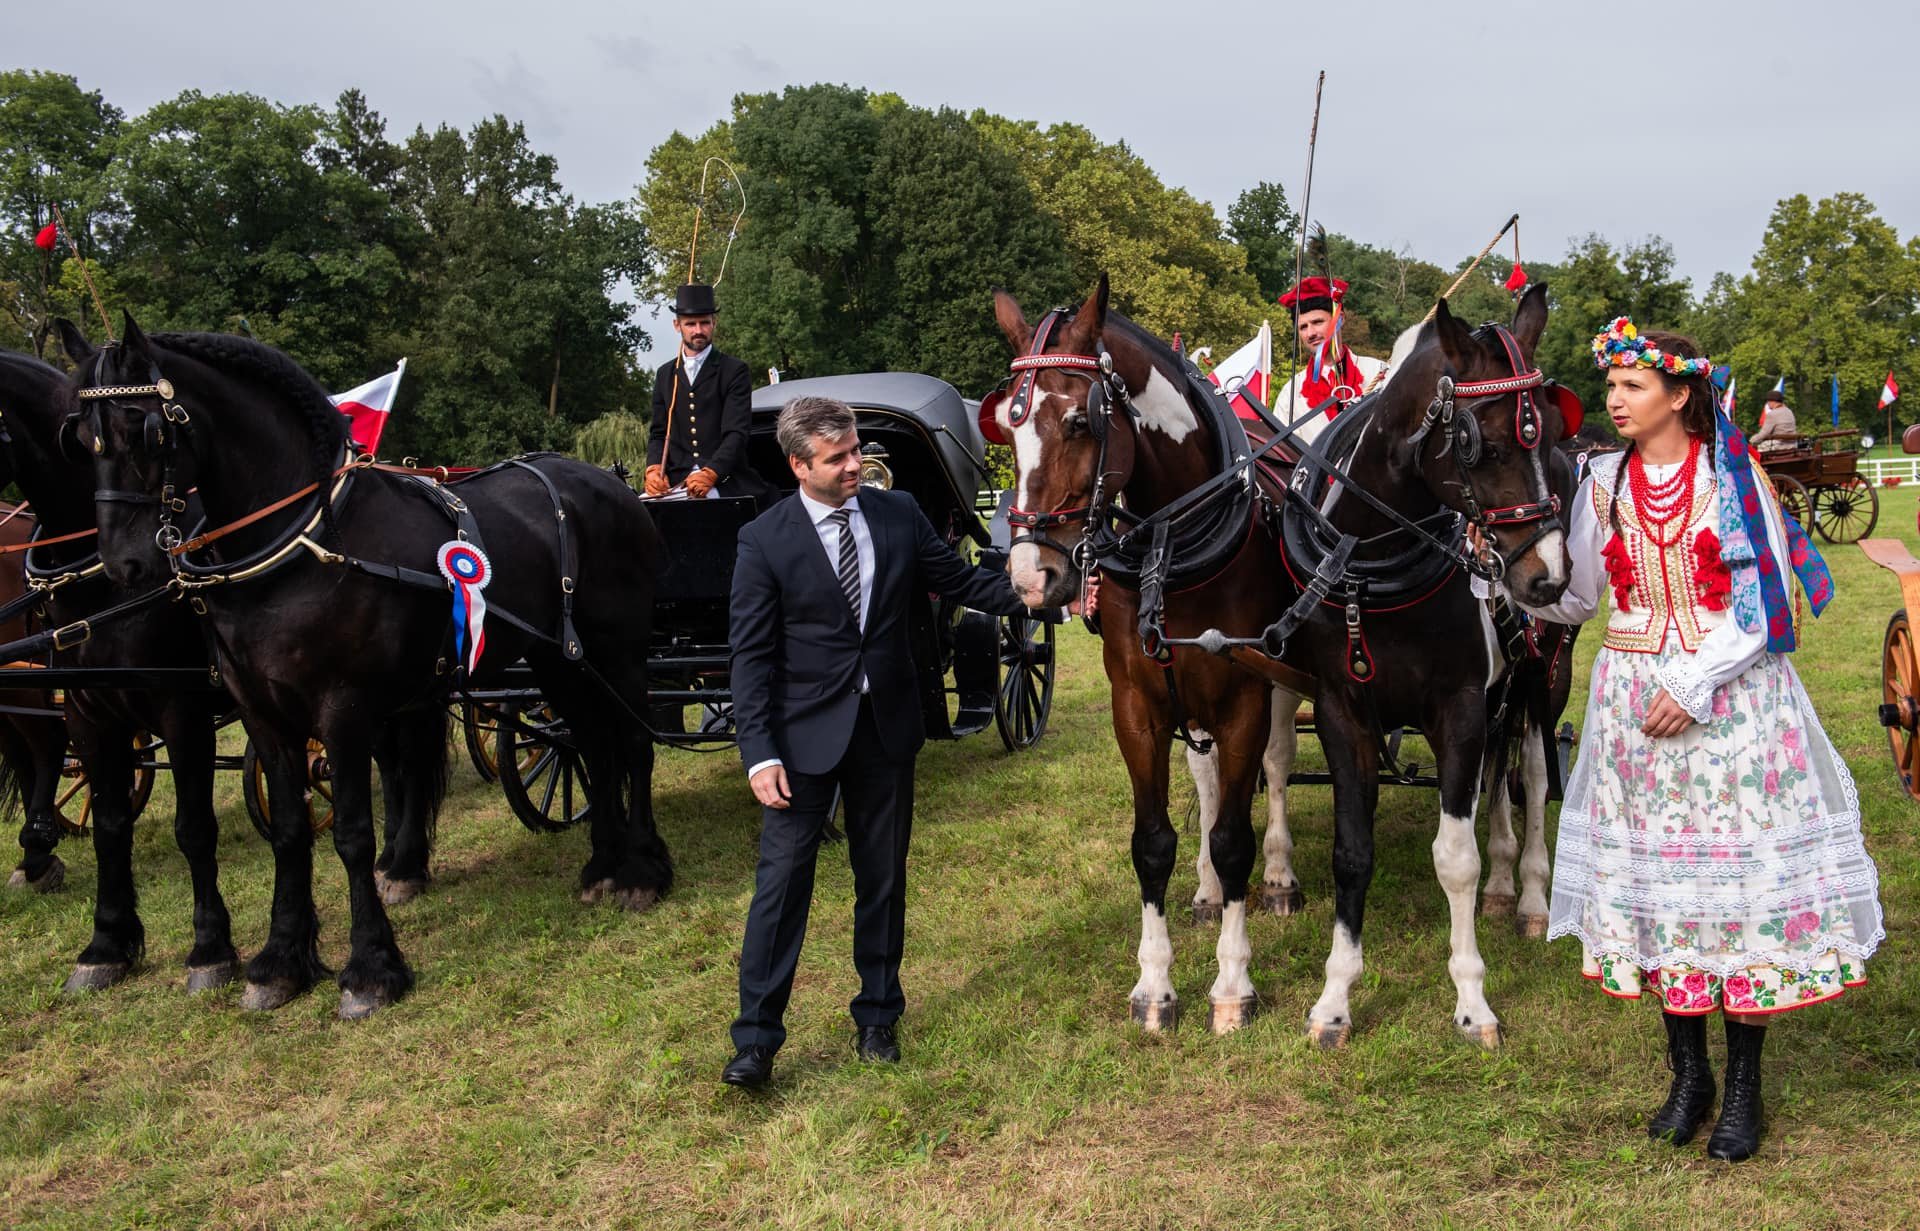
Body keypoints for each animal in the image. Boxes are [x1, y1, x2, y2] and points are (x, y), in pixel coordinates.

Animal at [65, 316, 668, 1013]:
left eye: (147, 429)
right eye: (81, 438)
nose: (124, 565)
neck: (301, 548)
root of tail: (610, 482)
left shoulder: (341, 710)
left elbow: (353, 834)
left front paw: (370, 968)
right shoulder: (263, 715)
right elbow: (291, 830)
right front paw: (280, 960)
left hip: (618, 652)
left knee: (633, 745)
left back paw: (644, 868)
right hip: (558, 661)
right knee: (592, 745)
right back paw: (603, 866)